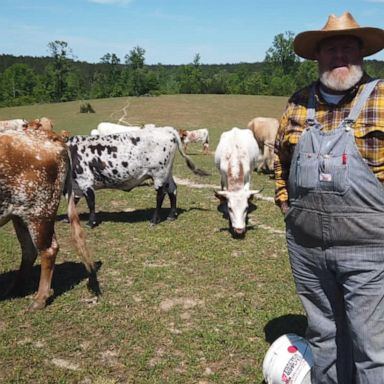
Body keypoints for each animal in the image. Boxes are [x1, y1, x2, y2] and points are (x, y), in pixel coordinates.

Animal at [0, 126, 98, 308]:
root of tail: (50, 135)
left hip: (40, 211)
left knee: (48, 249)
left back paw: (40, 298)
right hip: (20, 214)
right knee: (29, 250)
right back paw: (15, 289)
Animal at [67, 126, 208, 228]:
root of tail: (167, 129)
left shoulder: (85, 182)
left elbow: (91, 203)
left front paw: (91, 223)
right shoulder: (76, 186)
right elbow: (72, 201)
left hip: (159, 173)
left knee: (160, 195)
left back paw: (154, 220)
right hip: (167, 173)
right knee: (172, 189)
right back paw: (172, 215)